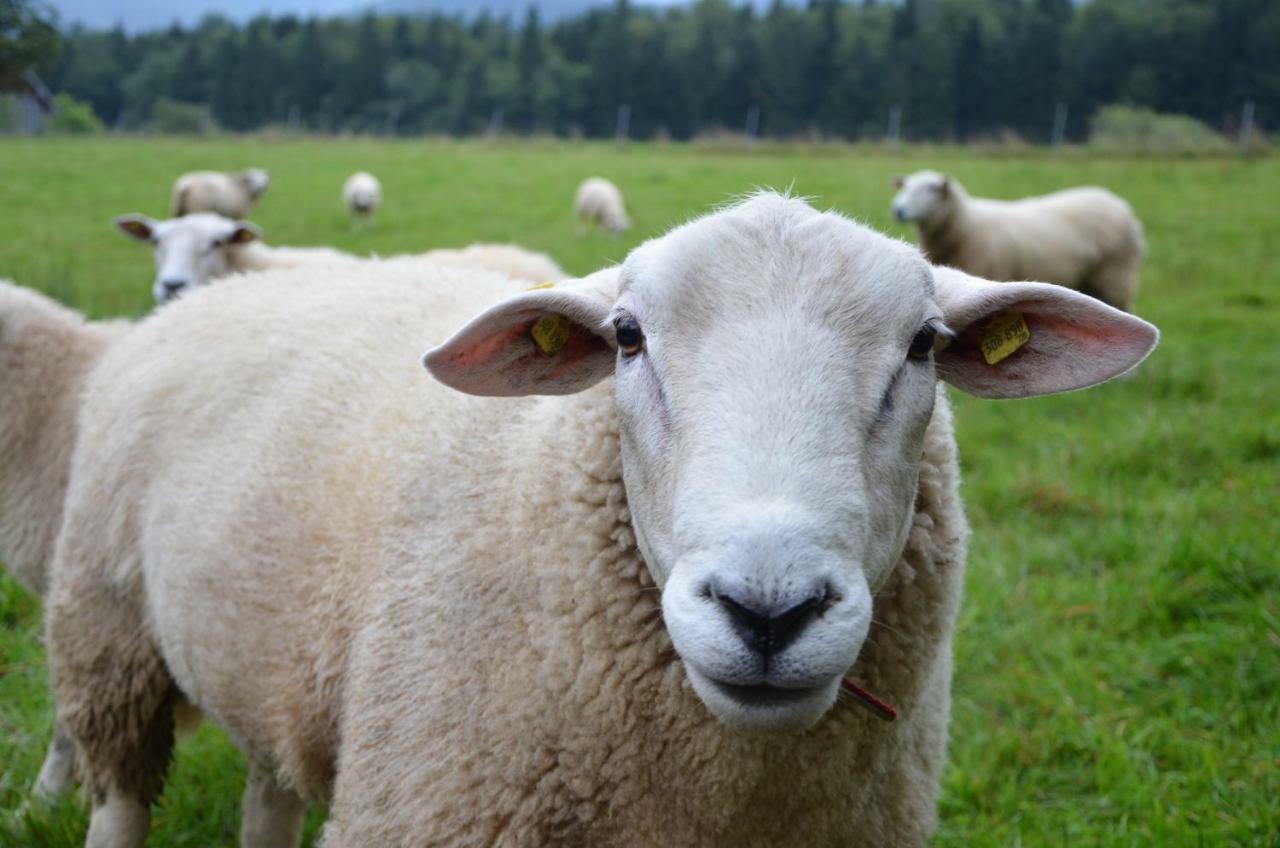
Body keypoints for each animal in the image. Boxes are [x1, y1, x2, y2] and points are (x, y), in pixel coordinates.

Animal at [890, 169, 1152, 312]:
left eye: (930, 190)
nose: (898, 210)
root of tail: (1122, 206)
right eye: (905, 187)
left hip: (1117, 273)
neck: (965, 224)